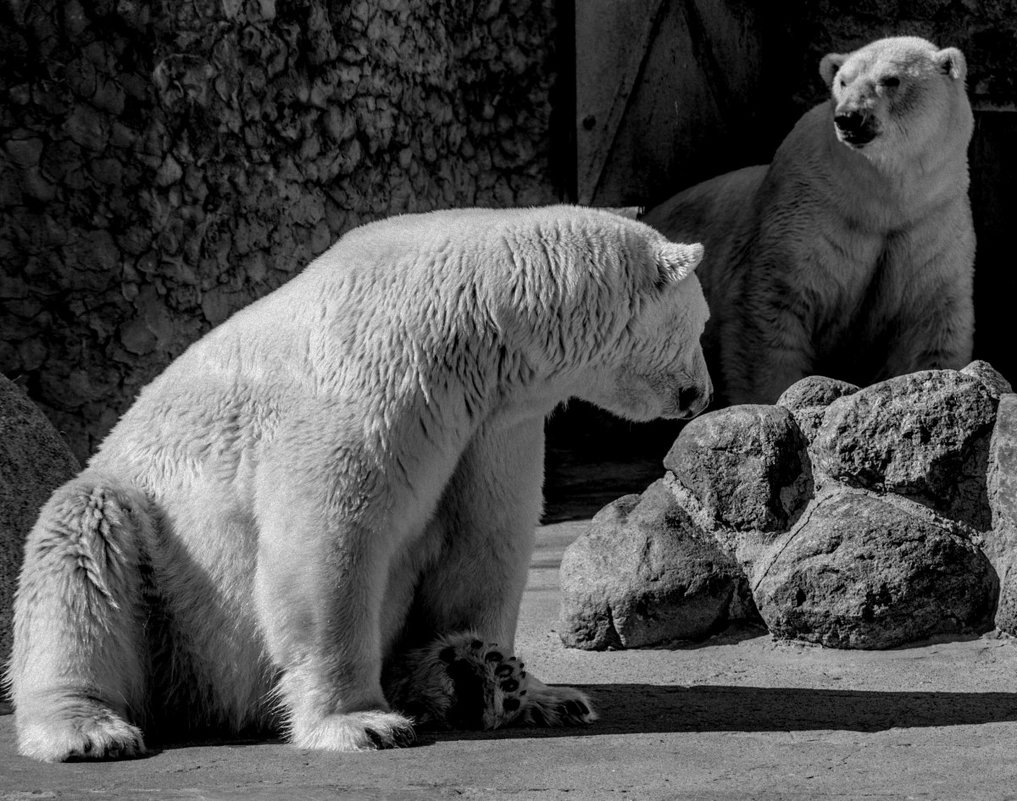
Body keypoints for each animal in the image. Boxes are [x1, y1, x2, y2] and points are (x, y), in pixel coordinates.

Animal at [3, 203, 711, 760]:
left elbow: (484, 539)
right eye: (702, 324)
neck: (479, 318)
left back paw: (459, 677)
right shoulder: (383, 374)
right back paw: (88, 729)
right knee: (81, 546)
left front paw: (525, 686)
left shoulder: (494, 423)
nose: (700, 394)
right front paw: (361, 723)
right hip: (167, 582)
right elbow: (329, 535)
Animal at [642, 34, 976, 404]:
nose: (849, 117)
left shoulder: (930, 224)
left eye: (891, 80)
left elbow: (931, 321)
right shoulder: (807, 214)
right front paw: (776, 397)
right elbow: (772, 305)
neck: (880, 199)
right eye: (842, 81)